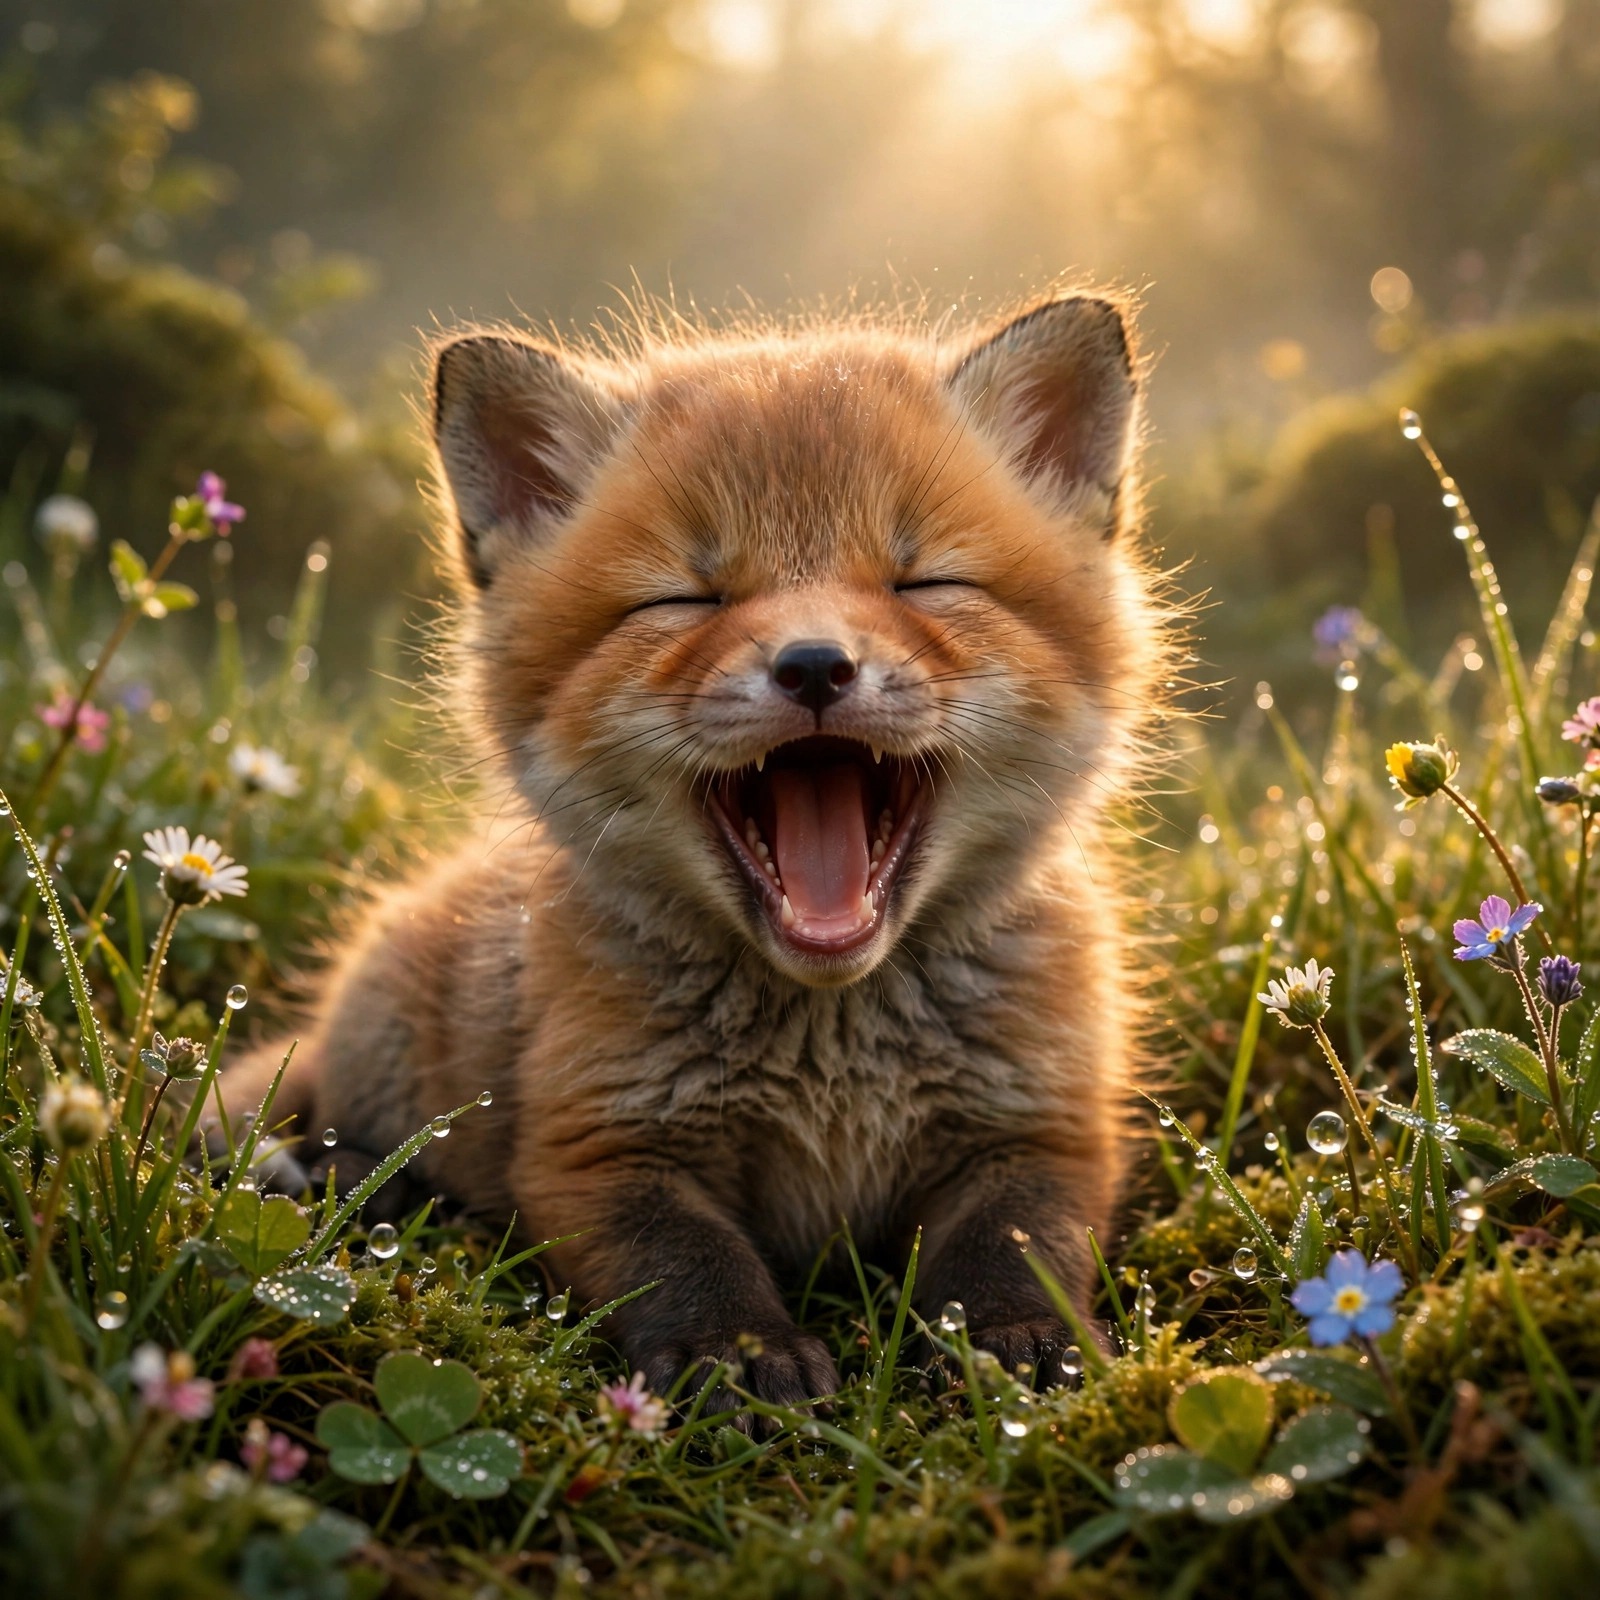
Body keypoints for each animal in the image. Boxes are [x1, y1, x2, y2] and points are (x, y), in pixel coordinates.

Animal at [219, 292, 1171, 1413]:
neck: (831, 1059)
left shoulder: (1039, 1121)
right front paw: (740, 1352)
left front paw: (1013, 1338)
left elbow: (1016, 1241)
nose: (815, 665)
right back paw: (385, 1191)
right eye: (684, 600)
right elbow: (684, 1259)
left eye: (924, 582)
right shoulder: (599, 1142)